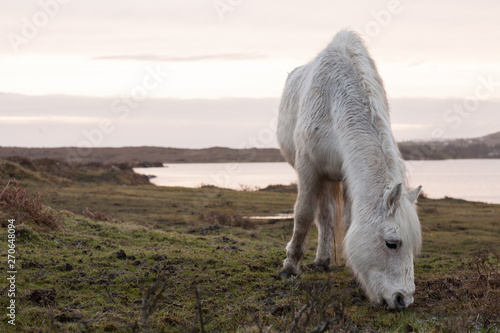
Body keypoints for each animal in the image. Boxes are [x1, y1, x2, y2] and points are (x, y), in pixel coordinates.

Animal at [278, 29, 422, 308]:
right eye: (391, 243)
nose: (403, 299)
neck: (334, 100)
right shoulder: (308, 168)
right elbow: (303, 215)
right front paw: (290, 266)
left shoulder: (347, 177)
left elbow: (346, 220)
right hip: (323, 177)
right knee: (322, 215)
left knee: (327, 216)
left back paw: (323, 260)